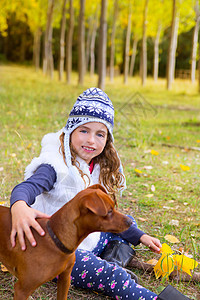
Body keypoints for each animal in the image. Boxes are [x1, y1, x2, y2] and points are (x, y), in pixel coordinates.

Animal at [0, 184, 132, 298]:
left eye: (113, 208)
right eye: (109, 211)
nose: (130, 221)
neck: (55, 239)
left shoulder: (65, 278)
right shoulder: (22, 289)